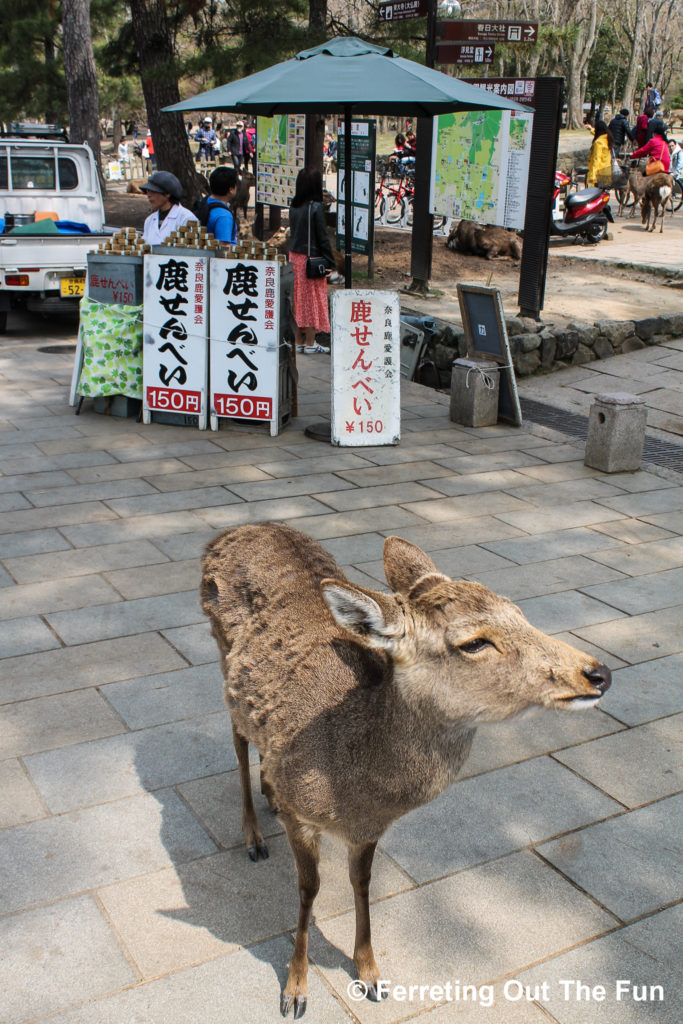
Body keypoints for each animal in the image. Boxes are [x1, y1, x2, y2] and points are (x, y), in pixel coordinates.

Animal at [200, 524, 610, 1019]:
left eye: (521, 614)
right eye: (474, 642)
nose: (598, 673)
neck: (352, 784)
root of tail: (234, 531)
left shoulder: (369, 829)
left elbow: (361, 882)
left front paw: (371, 974)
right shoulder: (304, 820)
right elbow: (308, 889)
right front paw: (295, 990)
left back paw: (270, 789)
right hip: (220, 652)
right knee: (237, 736)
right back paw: (254, 836)